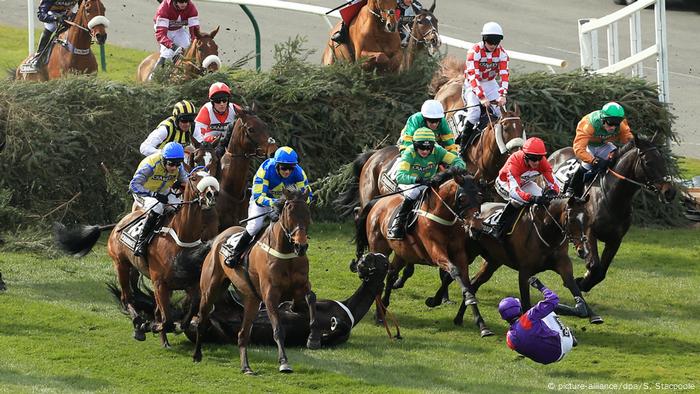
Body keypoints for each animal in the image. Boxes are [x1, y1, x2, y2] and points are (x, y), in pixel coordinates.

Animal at [53, 169, 219, 344]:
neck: (181, 237)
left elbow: (187, 312)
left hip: (135, 269)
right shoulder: (159, 283)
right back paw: (139, 325)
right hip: (121, 265)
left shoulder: (191, 284)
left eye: (209, 174)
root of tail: (118, 224)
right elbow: (166, 320)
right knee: (127, 299)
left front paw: (172, 325)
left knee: (135, 296)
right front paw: (151, 325)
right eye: (194, 178)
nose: (211, 194)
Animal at [193, 189, 322, 374]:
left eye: (307, 213)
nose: (301, 246)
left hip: (251, 300)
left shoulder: (301, 287)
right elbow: (278, 329)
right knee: (202, 320)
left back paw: (246, 367)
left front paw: (313, 337)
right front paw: (284, 362)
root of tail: (219, 237)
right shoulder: (270, 295)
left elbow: (311, 297)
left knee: (243, 334)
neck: (286, 254)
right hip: (210, 290)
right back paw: (197, 354)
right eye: (289, 213)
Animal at [356, 169, 492, 336]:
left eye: (480, 197)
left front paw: (482, 325)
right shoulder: (436, 252)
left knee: (391, 273)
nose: (476, 229)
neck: (442, 217)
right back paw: (380, 316)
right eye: (462, 198)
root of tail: (378, 202)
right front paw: (436, 301)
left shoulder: (460, 254)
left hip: (402, 252)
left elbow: (465, 282)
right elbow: (454, 271)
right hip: (379, 248)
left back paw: (383, 307)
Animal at [548, 136, 676, 292]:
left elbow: (601, 271)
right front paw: (580, 281)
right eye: (648, 162)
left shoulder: (616, 239)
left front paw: (583, 281)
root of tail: (555, 154)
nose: (669, 192)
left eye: (662, 160)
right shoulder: (590, 232)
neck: (612, 196)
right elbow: (594, 265)